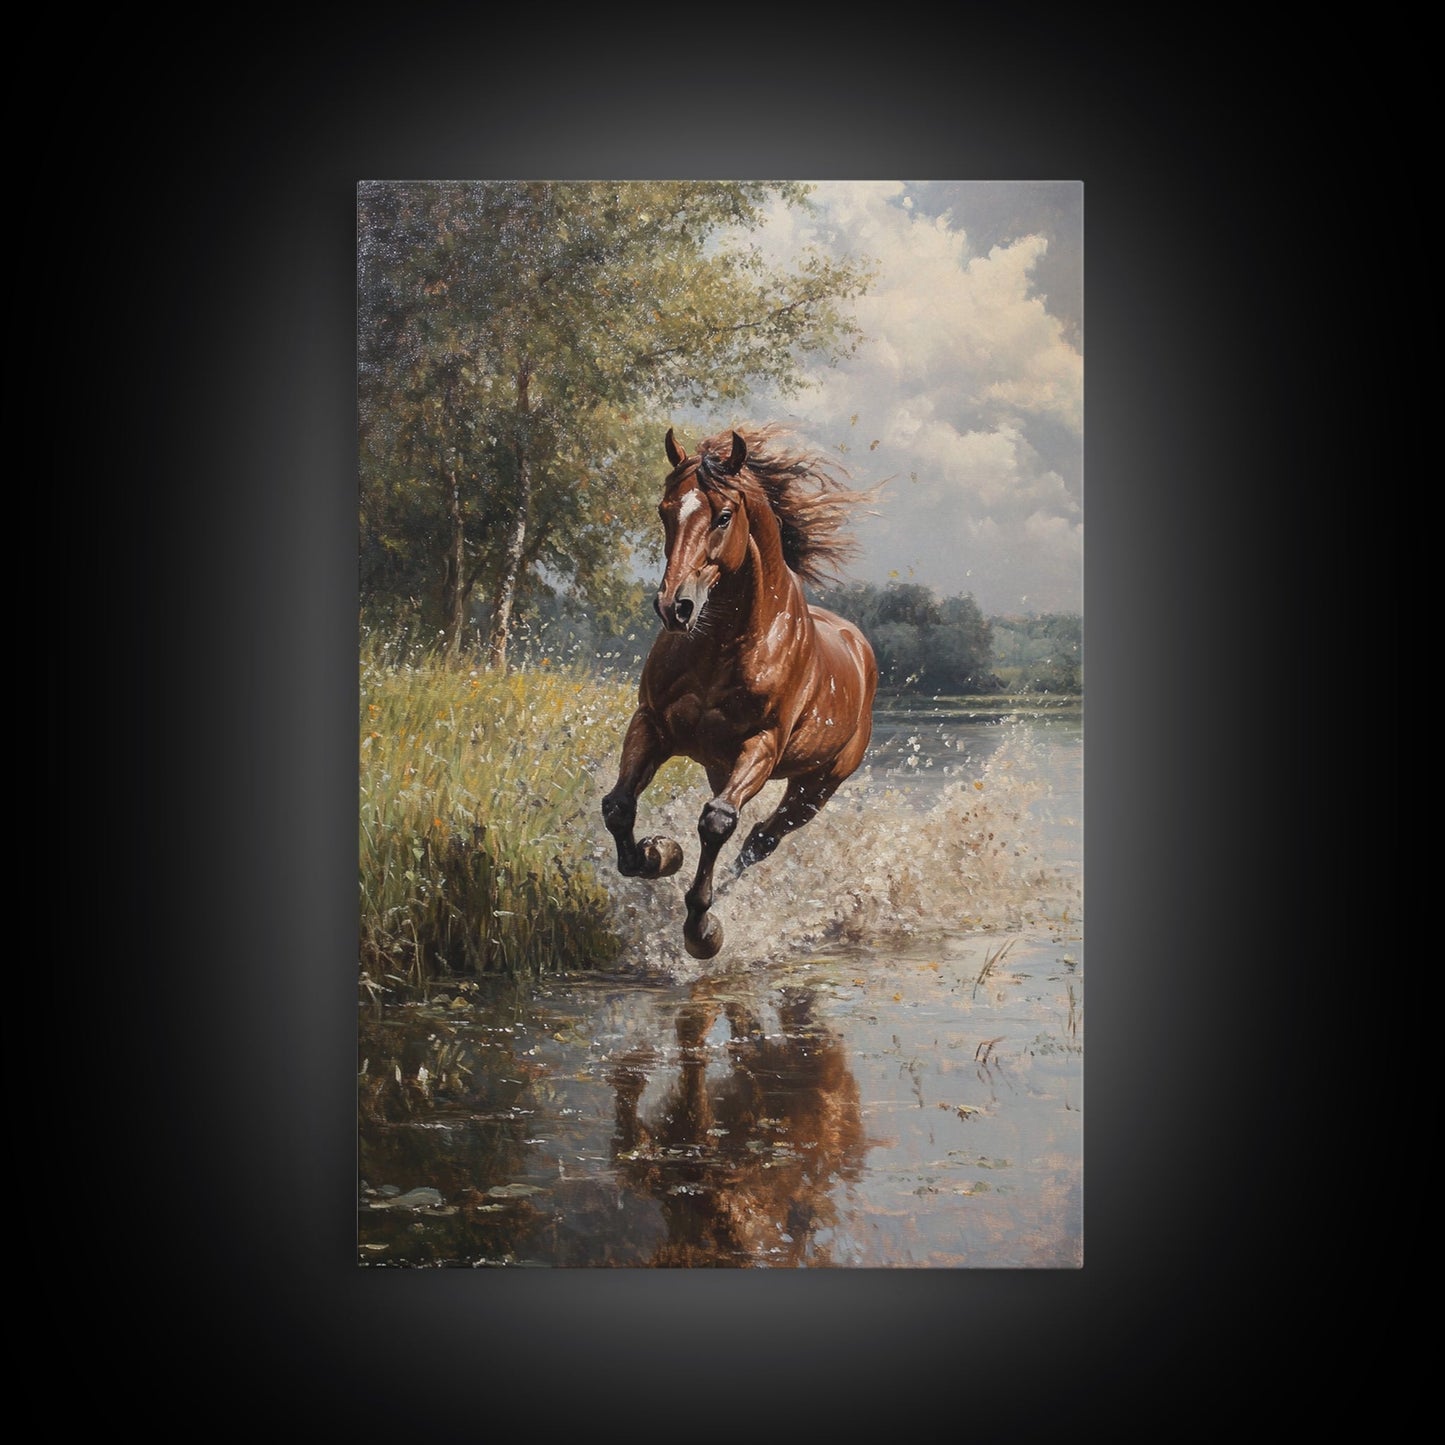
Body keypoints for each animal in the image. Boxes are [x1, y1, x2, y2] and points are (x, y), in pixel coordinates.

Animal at [601, 424, 879, 960]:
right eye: (664, 510)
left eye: (723, 516)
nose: (675, 607)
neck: (726, 642)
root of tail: (859, 647)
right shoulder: (652, 724)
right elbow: (619, 806)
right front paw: (660, 853)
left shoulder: (762, 745)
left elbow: (716, 823)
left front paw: (702, 930)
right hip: (721, 768)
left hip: (816, 786)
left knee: (758, 841)